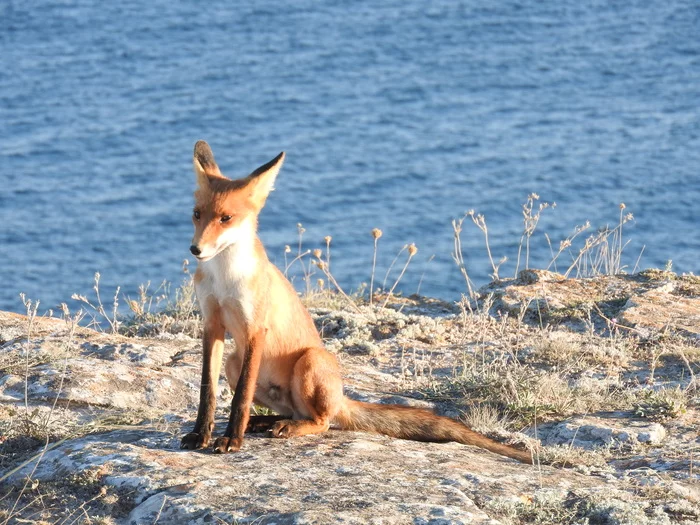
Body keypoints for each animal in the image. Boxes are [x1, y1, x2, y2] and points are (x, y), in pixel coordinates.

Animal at [179, 140, 532, 462]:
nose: (195, 249)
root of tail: (341, 397)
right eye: (196, 215)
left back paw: (282, 427)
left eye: (226, 218)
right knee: (294, 412)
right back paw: (263, 422)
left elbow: (240, 398)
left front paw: (231, 439)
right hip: (234, 361)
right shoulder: (212, 324)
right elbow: (207, 392)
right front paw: (201, 434)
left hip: (310, 360)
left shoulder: (255, 329)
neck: (224, 279)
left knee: (321, 421)